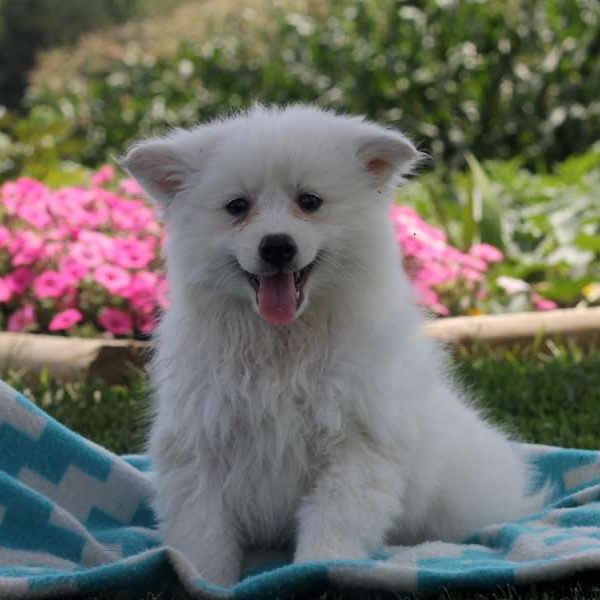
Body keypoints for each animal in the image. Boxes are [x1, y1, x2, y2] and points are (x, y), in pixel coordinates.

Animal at [122, 104, 544, 584]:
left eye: (310, 202)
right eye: (237, 207)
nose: (277, 246)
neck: (283, 343)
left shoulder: (355, 446)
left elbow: (333, 525)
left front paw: (316, 570)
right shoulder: (199, 449)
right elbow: (203, 535)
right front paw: (204, 580)